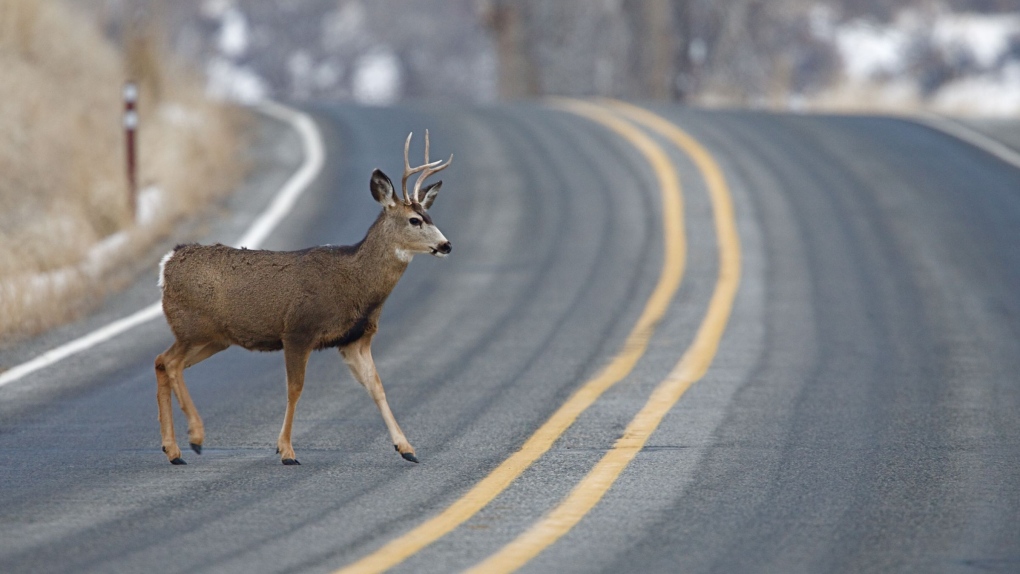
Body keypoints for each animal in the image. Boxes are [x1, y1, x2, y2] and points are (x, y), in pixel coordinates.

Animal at [153, 132, 452, 464]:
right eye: (415, 220)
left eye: (429, 215)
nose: (446, 245)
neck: (357, 284)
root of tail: (167, 263)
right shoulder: (298, 330)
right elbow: (295, 389)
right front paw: (286, 450)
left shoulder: (354, 339)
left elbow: (377, 386)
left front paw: (406, 447)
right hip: (193, 327)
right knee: (171, 363)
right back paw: (195, 437)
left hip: (214, 338)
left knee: (162, 362)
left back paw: (173, 449)